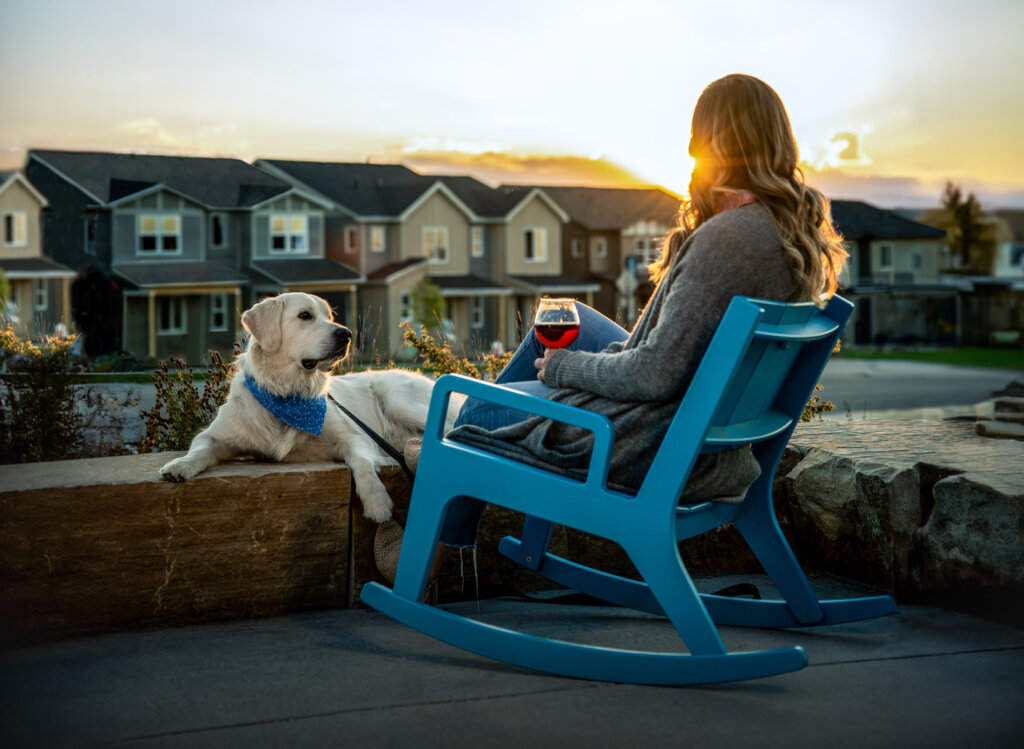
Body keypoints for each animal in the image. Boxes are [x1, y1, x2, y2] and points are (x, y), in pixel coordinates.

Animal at [157, 290, 462, 524]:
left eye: (330, 317)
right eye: (305, 316)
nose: (346, 334)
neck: (287, 395)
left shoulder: (354, 436)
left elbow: (362, 464)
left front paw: (377, 502)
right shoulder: (215, 435)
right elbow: (199, 449)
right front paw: (179, 466)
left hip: (399, 400)